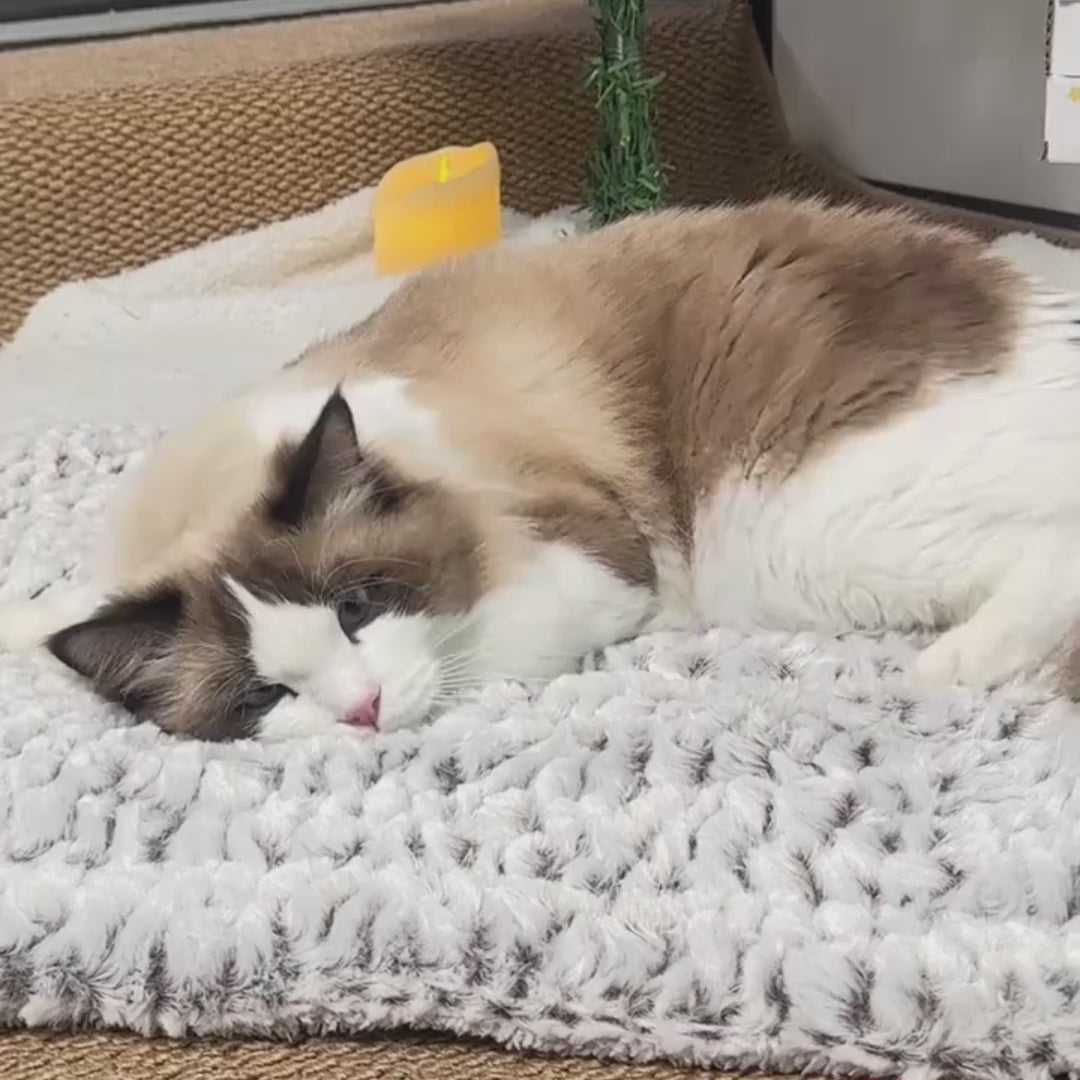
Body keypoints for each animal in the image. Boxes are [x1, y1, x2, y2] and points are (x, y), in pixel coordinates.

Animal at [3, 196, 1079, 740]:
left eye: (358, 607)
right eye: (264, 696)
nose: (363, 715)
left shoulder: (596, 567)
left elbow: (469, 658)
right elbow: (49, 609)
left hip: (796, 538)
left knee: (1048, 560)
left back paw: (952, 669)